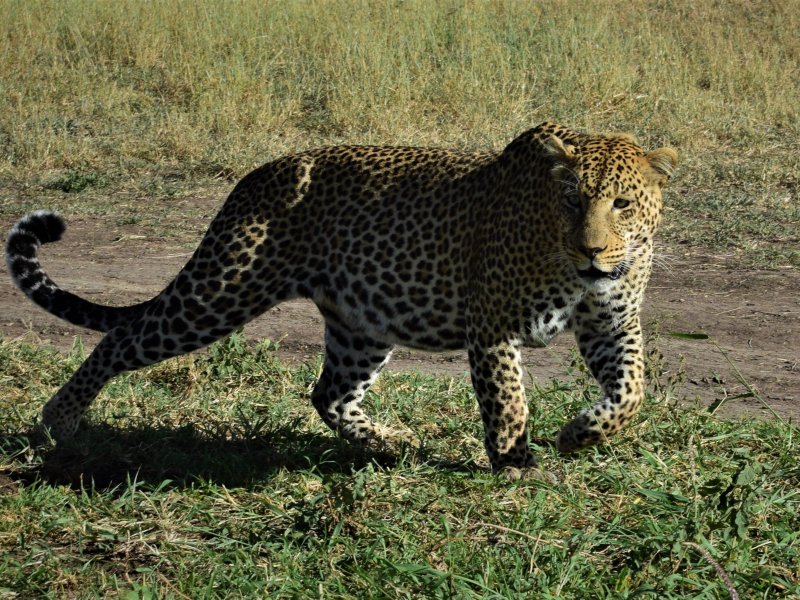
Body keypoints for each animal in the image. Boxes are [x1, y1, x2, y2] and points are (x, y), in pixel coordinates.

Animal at [6, 121, 677, 475]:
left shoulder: (612, 325)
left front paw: (581, 434)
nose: (592, 251)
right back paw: (58, 423)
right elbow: (507, 400)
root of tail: (255, 177)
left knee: (327, 393)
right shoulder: (491, 326)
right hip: (221, 291)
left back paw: (389, 443)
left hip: (360, 323)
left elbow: (632, 390)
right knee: (122, 336)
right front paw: (513, 460)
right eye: (572, 200)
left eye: (621, 203)